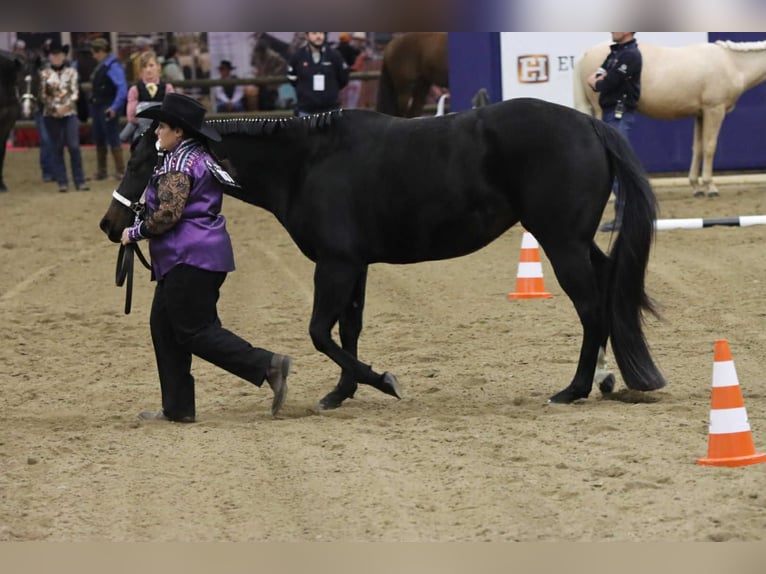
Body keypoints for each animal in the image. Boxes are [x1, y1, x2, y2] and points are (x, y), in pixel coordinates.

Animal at [99, 98, 667, 410]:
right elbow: (348, 329)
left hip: (561, 242)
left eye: (144, 162)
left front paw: (383, 382)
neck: (308, 162)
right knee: (609, 291)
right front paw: (342, 392)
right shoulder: (357, 265)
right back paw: (611, 379)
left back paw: (574, 389)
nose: (110, 225)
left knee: (591, 310)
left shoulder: (336, 264)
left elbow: (320, 332)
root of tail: (589, 124)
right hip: (577, 241)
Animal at [573, 39, 766, 197]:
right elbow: (710, 147)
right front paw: (710, 186)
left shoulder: (700, 114)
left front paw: (696, 187)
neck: (732, 63)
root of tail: (586, 54)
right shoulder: (714, 110)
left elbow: (698, 148)